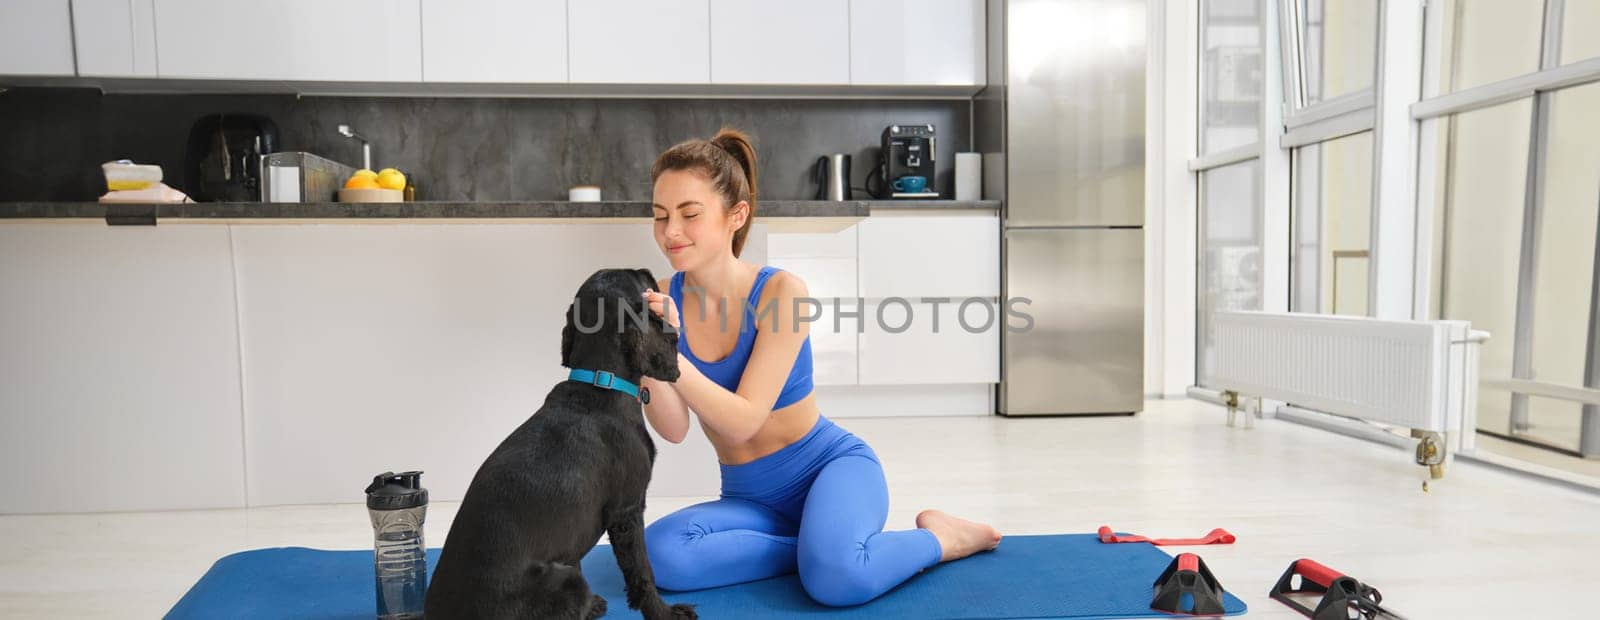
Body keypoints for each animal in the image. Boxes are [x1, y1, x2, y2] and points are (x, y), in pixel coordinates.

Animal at [428, 266, 697, 620]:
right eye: (638, 281)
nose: (647, 271)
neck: (600, 383)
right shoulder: (628, 510)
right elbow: (642, 572)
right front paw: (663, 613)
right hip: (567, 581)